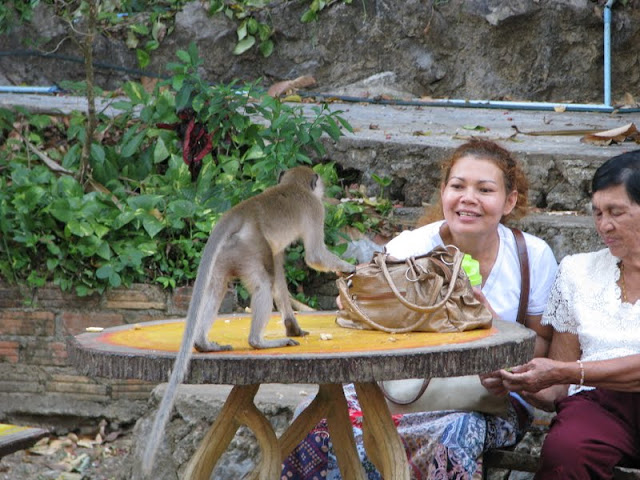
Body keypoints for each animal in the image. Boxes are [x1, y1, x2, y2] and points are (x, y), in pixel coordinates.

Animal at [139, 166, 356, 476]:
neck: (294, 187)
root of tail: (243, 209)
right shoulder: (316, 210)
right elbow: (312, 257)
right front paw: (350, 267)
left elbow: (279, 275)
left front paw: (294, 326)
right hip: (248, 249)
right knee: (263, 284)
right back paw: (259, 342)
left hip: (228, 254)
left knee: (218, 287)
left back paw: (204, 343)